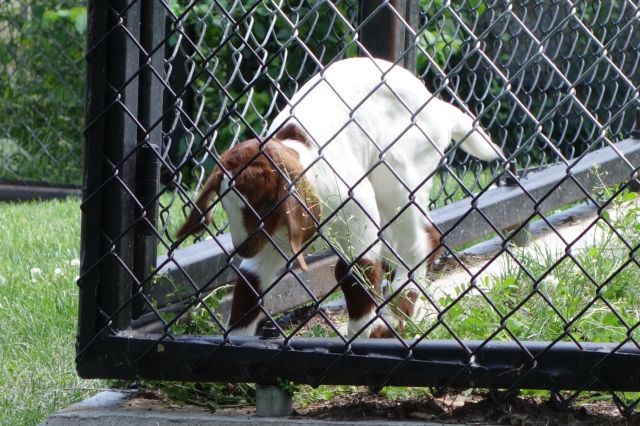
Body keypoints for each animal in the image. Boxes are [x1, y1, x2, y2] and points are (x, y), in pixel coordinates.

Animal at [176, 56, 504, 338]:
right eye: (226, 205)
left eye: (264, 204)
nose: (242, 247)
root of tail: (437, 107)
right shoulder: (279, 232)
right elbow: (251, 281)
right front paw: (237, 341)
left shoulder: (355, 211)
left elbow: (355, 267)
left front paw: (366, 330)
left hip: (400, 170)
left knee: (421, 240)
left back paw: (400, 312)